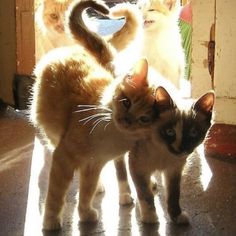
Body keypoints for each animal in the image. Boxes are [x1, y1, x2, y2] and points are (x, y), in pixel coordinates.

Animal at [128, 85, 215, 224]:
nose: (180, 149)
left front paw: (176, 217)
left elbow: (173, 195)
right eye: (169, 132)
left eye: (193, 133)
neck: (163, 152)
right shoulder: (137, 166)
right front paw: (150, 218)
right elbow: (145, 194)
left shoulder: (174, 170)